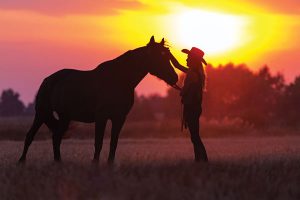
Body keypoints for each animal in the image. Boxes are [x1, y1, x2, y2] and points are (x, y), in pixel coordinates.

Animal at [19, 36, 178, 162]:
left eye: (167, 56)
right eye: (159, 56)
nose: (174, 77)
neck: (119, 79)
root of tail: (47, 80)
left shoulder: (119, 118)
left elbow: (113, 143)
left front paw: (110, 165)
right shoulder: (101, 117)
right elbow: (99, 143)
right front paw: (95, 165)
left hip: (65, 117)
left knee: (56, 137)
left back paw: (58, 163)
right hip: (41, 113)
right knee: (30, 136)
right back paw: (22, 162)